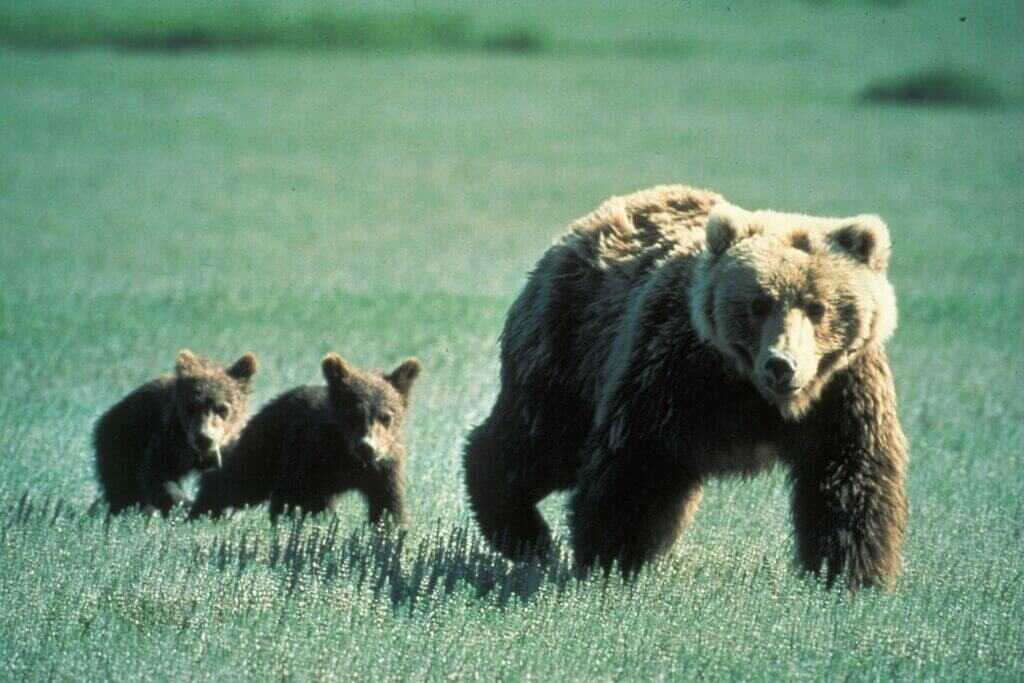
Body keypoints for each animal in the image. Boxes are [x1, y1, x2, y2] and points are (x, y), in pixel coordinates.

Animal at [93, 349, 258, 515]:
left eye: (222, 408)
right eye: (192, 406)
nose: (204, 438)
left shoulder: (231, 447)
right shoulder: (171, 440)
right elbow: (157, 475)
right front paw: (186, 506)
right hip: (121, 441)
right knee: (123, 489)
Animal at [189, 353, 422, 525]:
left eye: (386, 416)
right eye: (353, 414)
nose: (367, 447)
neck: (349, 459)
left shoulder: (384, 468)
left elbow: (388, 505)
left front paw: (389, 530)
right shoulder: (313, 458)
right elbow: (295, 498)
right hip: (268, 443)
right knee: (241, 479)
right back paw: (201, 512)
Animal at [463, 184, 908, 591]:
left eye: (818, 307)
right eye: (759, 303)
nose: (782, 364)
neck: (758, 397)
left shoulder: (844, 392)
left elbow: (849, 479)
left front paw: (851, 576)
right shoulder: (674, 370)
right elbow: (637, 462)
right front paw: (612, 559)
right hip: (570, 346)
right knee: (537, 441)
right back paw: (525, 534)